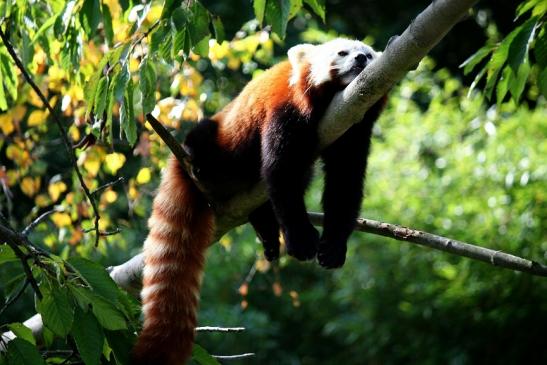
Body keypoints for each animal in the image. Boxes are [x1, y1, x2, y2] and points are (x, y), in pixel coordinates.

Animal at [133, 38, 388, 362]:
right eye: (342, 53)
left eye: (368, 54)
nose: (360, 60)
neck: (333, 104)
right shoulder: (285, 110)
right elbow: (281, 173)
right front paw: (300, 239)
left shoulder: (352, 129)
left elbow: (344, 185)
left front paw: (333, 245)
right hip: (215, 139)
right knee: (203, 136)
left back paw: (265, 229)